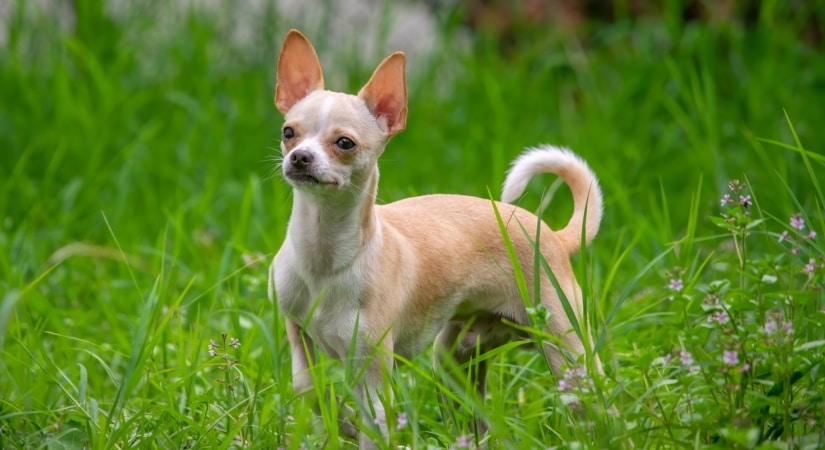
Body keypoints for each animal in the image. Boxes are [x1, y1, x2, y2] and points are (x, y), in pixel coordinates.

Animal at [270, 29, 604, 448]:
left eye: (344, 143)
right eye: (288, 133)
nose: (299, 156)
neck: (325, 257)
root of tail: (555, 236)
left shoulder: (372, 367)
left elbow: (374, 423)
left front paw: (349, 424)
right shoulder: (298, 331)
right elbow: (307, 387)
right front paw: (340, 420)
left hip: (566, 352)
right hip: (455, 360)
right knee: (478, 418)